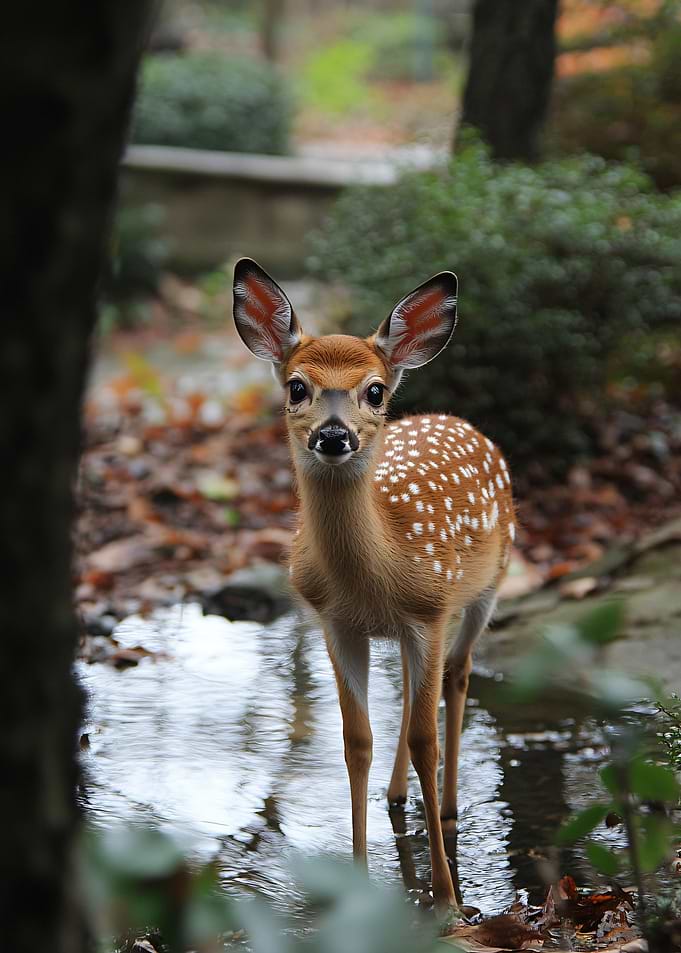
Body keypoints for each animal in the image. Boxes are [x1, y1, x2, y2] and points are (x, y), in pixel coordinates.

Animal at [232, 258, 516, 911]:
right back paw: (396, 796)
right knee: (414, 693)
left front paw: (447, 898)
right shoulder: (336, 623)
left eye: (376, 390)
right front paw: (360, 883)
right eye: (297, 387)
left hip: (487, 585)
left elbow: (426, 740)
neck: (374, 575)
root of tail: (457, 419)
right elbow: (355, 739)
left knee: (457, 676)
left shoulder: (430, 609)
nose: (334, 436)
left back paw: (451, 808)